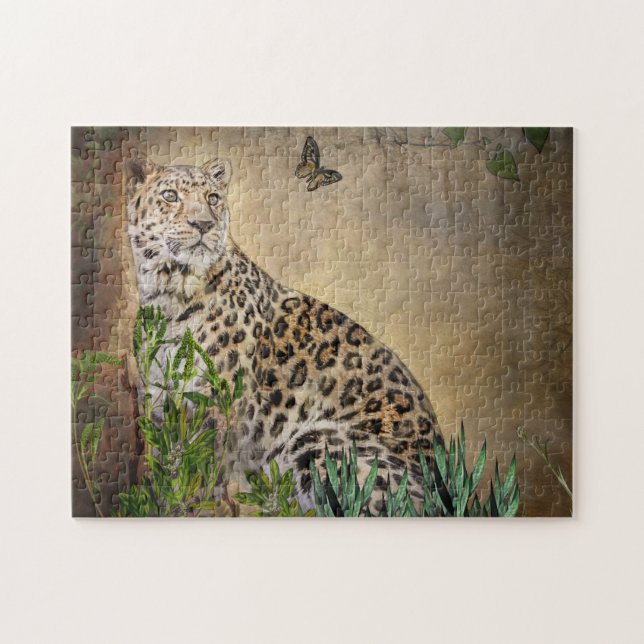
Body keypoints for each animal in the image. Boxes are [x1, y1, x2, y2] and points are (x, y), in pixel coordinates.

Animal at [126, 155, 442, 513]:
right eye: (170, 196)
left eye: (213, 198)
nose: (203, 224)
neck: (167, 295)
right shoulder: (157, 402)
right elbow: (163, 465)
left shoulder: (217, 403)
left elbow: (202, 469)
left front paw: (194, 507)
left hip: (317, 441)